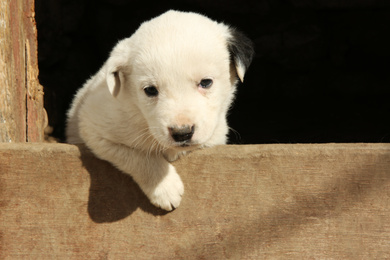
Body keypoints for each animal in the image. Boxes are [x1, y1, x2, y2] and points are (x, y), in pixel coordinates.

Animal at [65, 9, 254, 211]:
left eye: (205, 83)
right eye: (150, 90)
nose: (182, 133)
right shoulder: (94, 129)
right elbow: (136, 155)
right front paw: (165, 188)